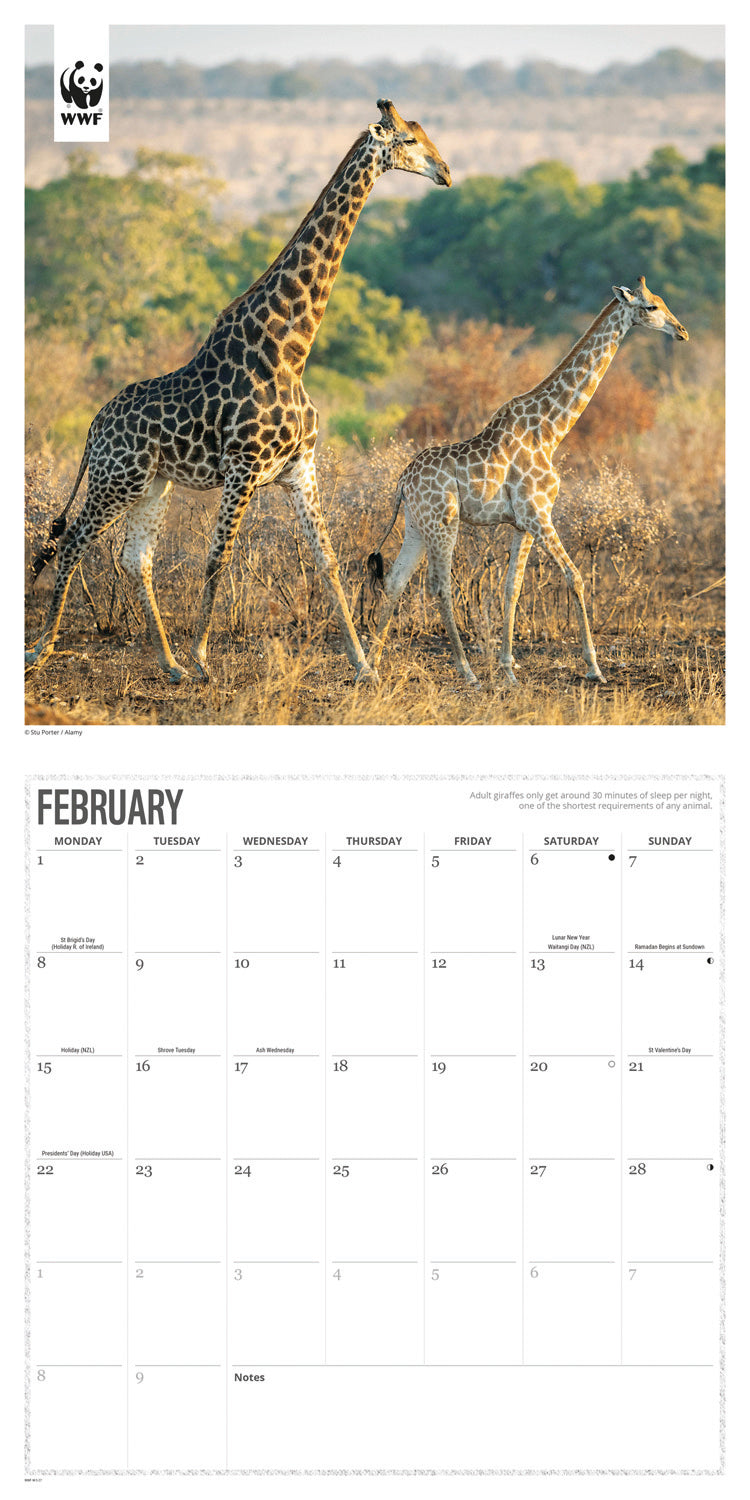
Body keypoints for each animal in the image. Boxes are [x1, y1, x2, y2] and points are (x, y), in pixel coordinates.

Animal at [25, 100, 451, 685]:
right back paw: (43, 649)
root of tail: (93, 427)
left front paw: (364, 666)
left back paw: (169, 664)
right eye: (408, 138)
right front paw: (204, 658)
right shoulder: (244, 467)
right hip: (118, 478)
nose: (446, 172)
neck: (290, 348)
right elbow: (218, 557)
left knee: (135, 558)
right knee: (73, 541)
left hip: (153, 483)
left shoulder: (299, 468)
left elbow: (327, 560)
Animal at [367, 278, 688, 686]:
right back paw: (466, 671)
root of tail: (402, 482)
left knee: (395, 580)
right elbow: (575, 576)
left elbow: (511, 588)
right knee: (438, 585)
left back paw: (370, 667)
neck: (551, 431)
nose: (682, 331)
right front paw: (593, 667)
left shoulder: (524, 523)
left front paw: (508, 668)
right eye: (651, 307)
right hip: (444, 522)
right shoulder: (538, 513)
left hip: (416, 525)